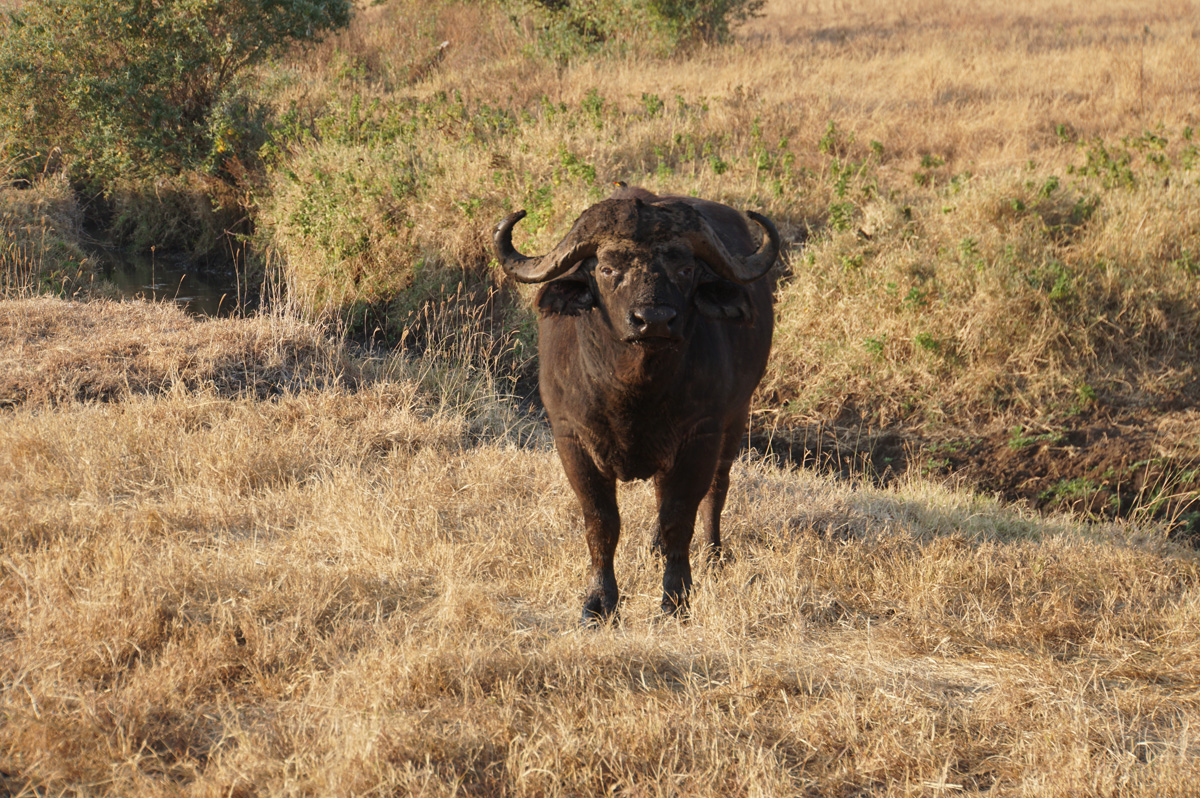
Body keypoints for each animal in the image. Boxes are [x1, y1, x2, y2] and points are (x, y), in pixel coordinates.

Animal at [493, 185, 780, 624]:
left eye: (685, 269)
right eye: (608, 269)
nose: (654, 320)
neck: (633, 393)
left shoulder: (700, 436)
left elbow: (680, 517)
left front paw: (676, 599)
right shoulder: (571, 438)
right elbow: (601, 522)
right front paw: (599, 602)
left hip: (736, 418)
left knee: (717, 487)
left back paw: (713, 555)